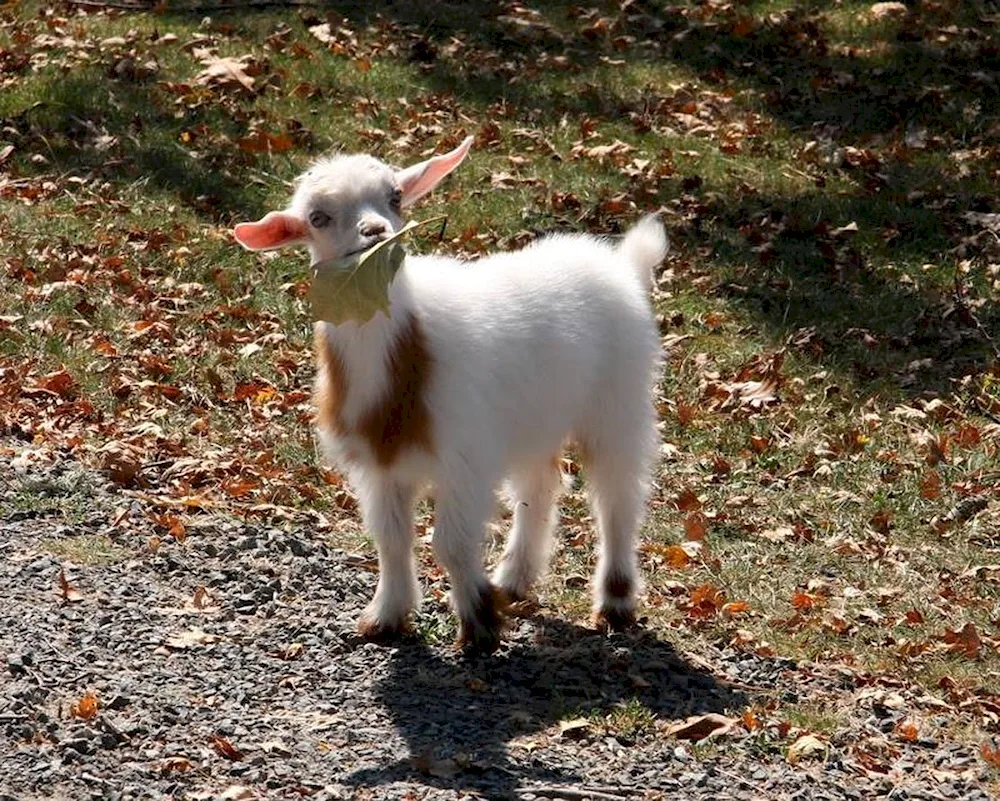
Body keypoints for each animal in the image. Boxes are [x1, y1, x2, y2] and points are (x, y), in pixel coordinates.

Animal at [235, 138, 668, 648]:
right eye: (318, 217)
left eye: (395, 197)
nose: (375, 231)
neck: (406, 362)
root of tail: (621, 266)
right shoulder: (380, 465)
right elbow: (391, 537)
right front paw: (387, 616)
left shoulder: (465, 457)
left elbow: (451, 543)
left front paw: (479, 623)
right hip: (534, 418)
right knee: (540, 485)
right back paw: (513, 579)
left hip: (619, 397)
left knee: (617, 495)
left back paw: (615, 601)